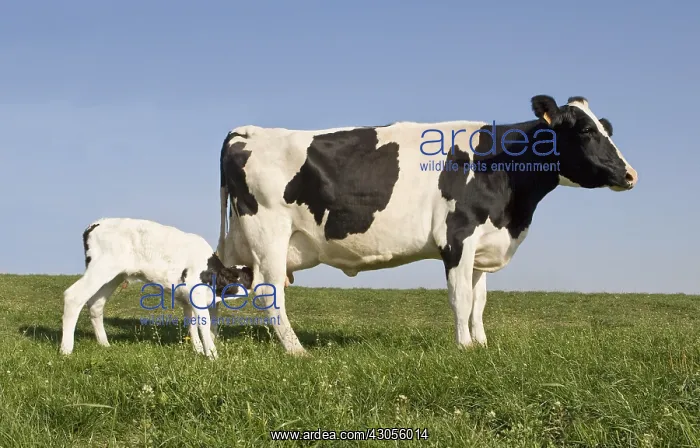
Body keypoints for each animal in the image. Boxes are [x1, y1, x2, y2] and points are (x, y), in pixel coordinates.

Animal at [216, 95, 638, 356]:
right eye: (586, 131)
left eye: (607, 129)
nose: (630, 174)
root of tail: (247, 130)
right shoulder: (458, 235)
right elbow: (461, 297)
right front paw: (464, 347)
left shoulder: (482, 244)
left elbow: (479, 301)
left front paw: (482, 345)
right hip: (268, 232)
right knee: (268, 291)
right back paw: (297, 350)